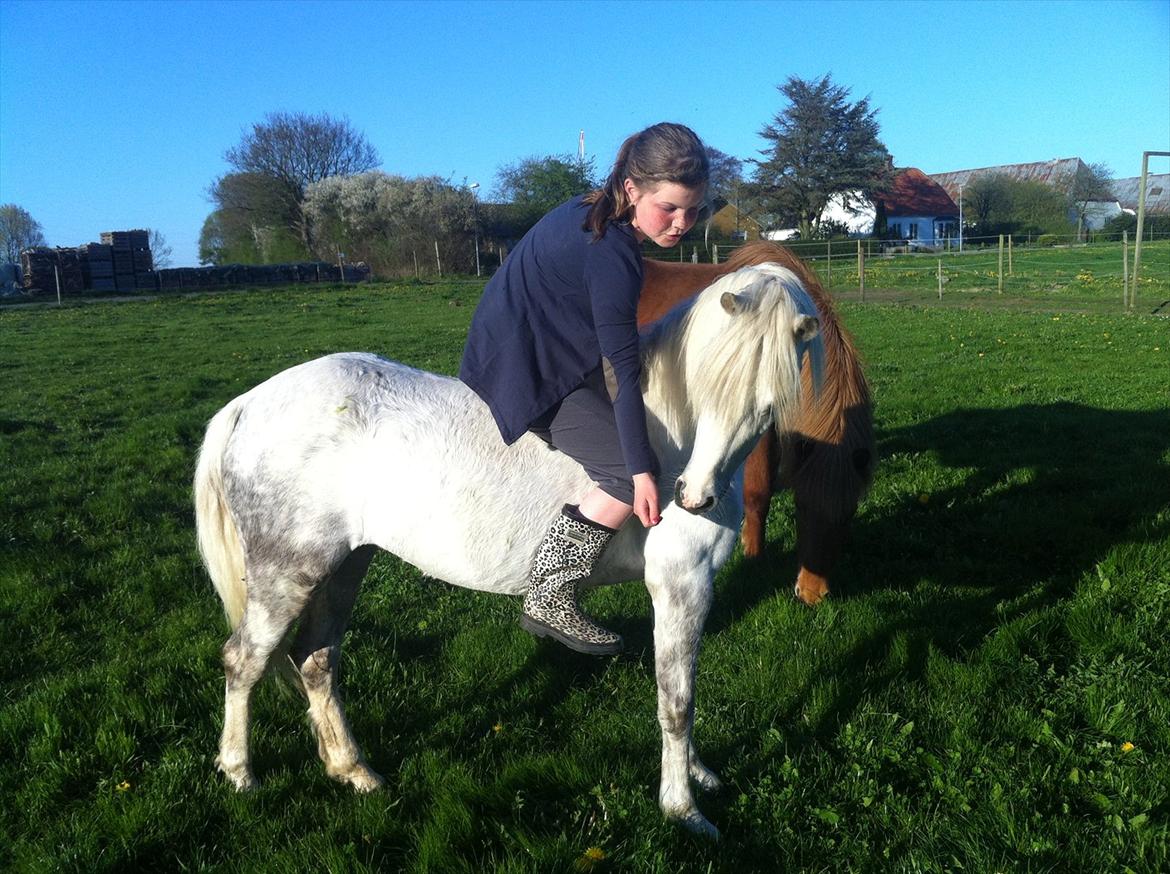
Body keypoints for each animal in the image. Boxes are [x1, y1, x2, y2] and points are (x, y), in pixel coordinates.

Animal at [194, 263, 823, 837]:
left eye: (767, 403)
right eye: (712, 382)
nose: (693, 498)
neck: (670, 445)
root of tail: (248, 404)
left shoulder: (692, 588)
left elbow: (680, 683)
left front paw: (698, 776)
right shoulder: (680, 583)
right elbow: (677, 700)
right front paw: (683, 808)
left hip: (345, 566)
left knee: (317, 660)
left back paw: (353, 770)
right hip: (288, 573)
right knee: (244, 660)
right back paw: (241, 773)